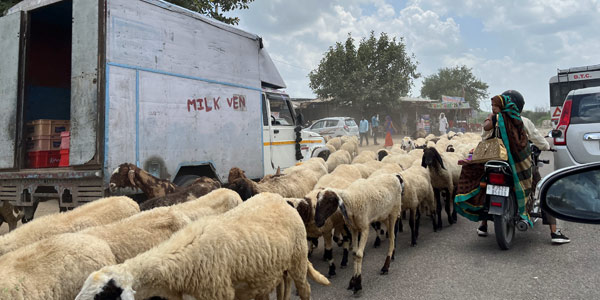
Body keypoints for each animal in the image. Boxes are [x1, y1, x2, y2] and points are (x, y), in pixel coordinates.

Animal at [75, 192, 330, 300]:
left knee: (305, 290)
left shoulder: (220, 293)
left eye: (103, 295)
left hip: (297, 258)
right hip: (272, 270)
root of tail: (280, 198)